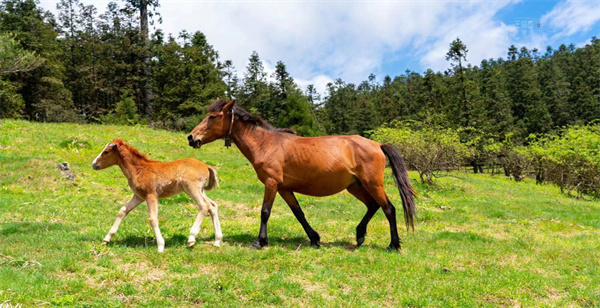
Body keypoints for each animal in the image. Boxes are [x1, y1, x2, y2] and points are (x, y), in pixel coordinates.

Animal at [92, 138, 224, 251]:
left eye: (106, 152)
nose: (93, 164)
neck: (139, 170)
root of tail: (206, 165)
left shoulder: (151, 195)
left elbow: (152, 218)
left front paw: (160, 245)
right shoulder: (139, 196)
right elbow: (123, 210)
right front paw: (106, 239)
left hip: (191, 188)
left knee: (204, 205)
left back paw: (191, 239)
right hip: (200, 190)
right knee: (212, 205)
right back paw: (217, 240)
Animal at [189, 100, 418, 251]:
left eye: (213, 117)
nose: (191, 137)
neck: (266, 144)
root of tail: (378, 144)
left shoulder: (271, 184)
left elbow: (265, 212)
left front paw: (259, 241)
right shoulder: (284, 188)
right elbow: (299, 213)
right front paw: (315, 238)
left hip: (372, 184)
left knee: (389, 208)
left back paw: (393, 244)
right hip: (355, 186)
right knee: (372, 205)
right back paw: (360, 235)